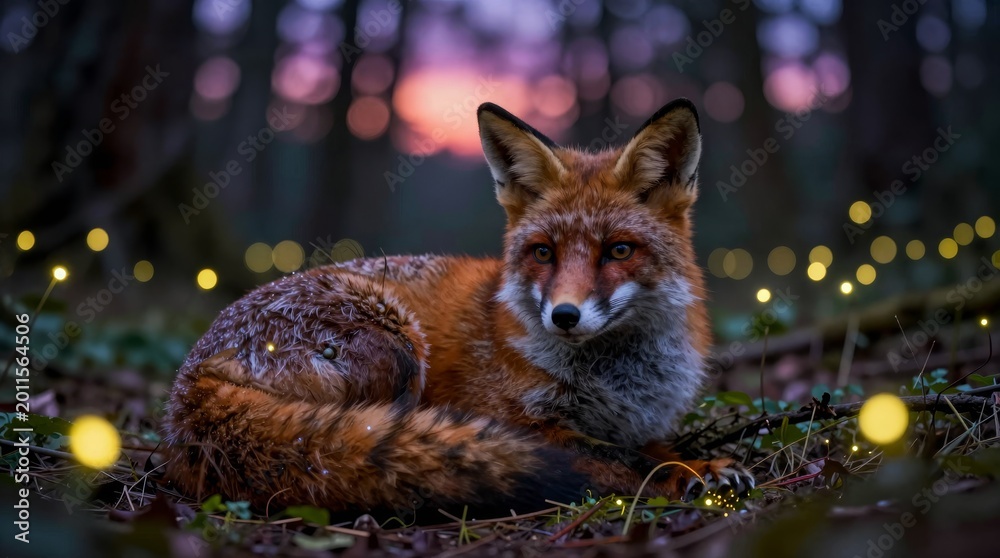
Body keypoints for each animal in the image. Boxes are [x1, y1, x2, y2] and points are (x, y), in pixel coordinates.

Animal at [163, 99, 754, 518]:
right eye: (544, 253)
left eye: (619, 251)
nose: (563, 316)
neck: (617, 385)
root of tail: (187, 380)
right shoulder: (519, 420)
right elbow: (622, 458)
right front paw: (695, 469)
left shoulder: (641, 423)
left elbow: (650, 446)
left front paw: (689, 459)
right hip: (397, 344)